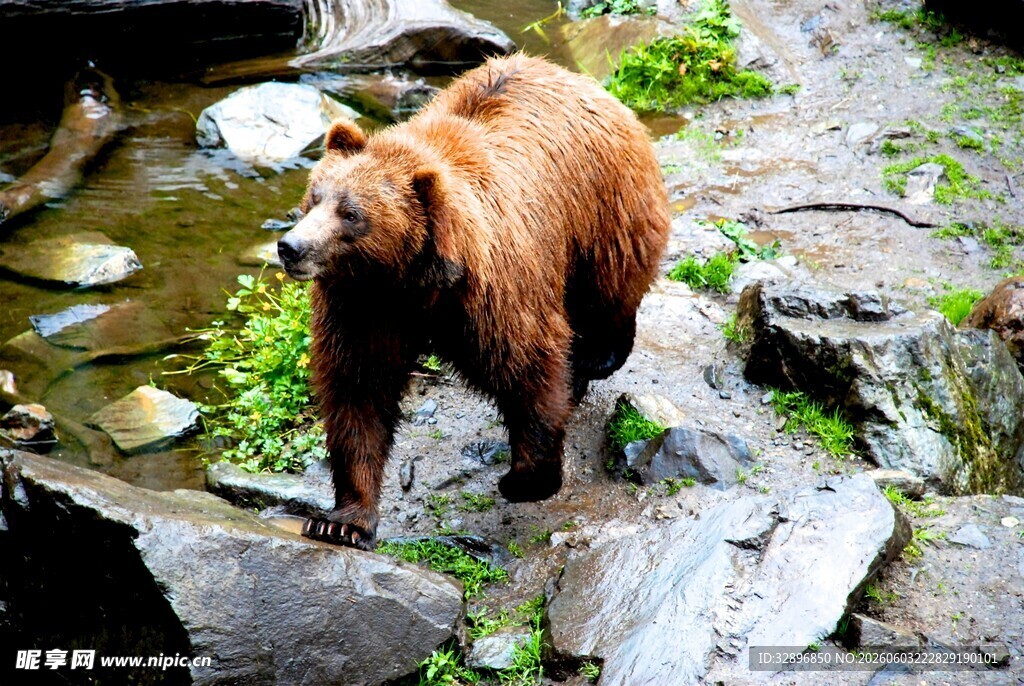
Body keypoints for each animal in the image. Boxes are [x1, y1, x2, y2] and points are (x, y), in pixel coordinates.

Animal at [277, 53, 669, 550]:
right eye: (314, 197)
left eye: (351, 214)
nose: (290, 247)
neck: (412, 281)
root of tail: (584, 82)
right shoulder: (365, 307)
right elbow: (358, 393)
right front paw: (342, 520)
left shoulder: (492, 295)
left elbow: (529, 366)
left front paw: (524, 478)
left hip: (601, 212)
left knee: (608, 291)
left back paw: (594, 358)